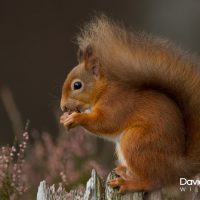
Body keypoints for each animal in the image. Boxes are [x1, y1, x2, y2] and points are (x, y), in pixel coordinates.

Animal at [59, 14, 200, 193]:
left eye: (77, 85)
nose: (63, 107)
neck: (103, 90)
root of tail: (177, 168)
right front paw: (64, 118)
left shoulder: (116, 103)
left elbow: (105, 123)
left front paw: (77, 118)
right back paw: (124, 171)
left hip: (136, 142)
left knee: (154, 181)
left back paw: (128, 184)